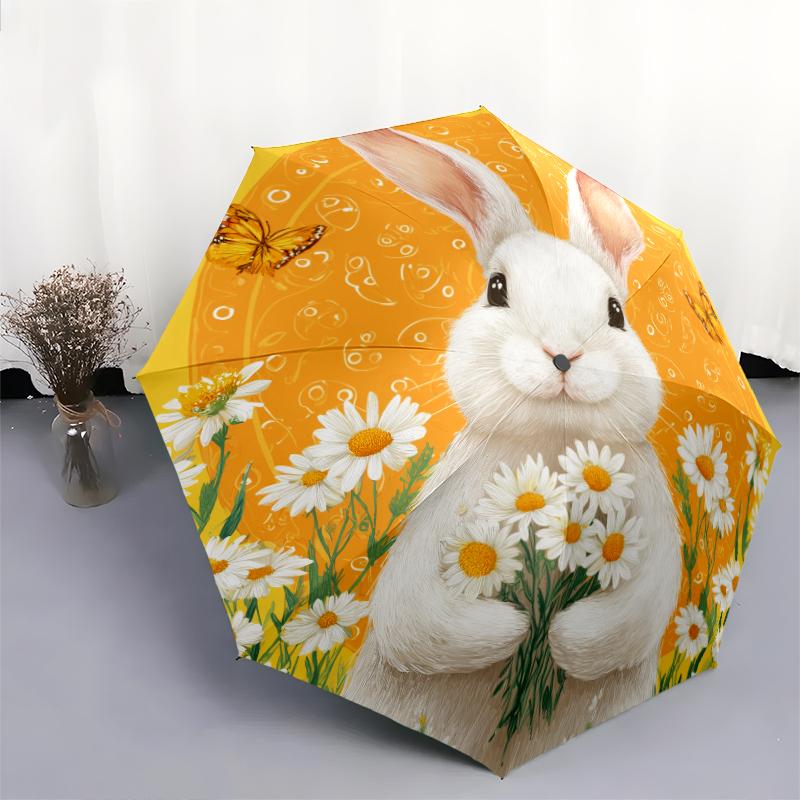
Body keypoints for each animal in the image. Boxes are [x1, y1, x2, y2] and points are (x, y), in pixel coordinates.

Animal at [338, 127, 682, 775]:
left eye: (616, 313)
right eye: (496, 289)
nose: (563, 355)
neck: (553, 448)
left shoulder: (655, 531)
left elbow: (636, 610)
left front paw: (559, 639)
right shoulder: (429, 533)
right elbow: (411, 615)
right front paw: (515, 629)